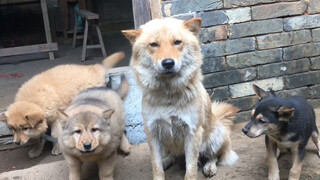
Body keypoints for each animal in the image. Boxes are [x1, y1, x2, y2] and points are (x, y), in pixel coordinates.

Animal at [124, 17, 239, 179]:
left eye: (177, 42)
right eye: (153, 44)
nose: (168, 63)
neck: (168, 95)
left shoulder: (192, 133)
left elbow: (191, 168)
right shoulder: (152, 132)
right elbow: (156, 166)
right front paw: (160, 169)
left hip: (216, 135)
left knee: (213, 156)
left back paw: (209, 166)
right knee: (172, 156)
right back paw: (167, 161)